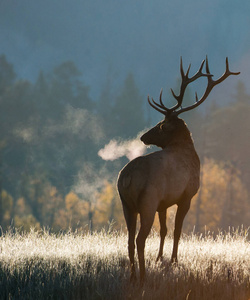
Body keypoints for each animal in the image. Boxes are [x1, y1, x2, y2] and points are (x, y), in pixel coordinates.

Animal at [117, 56, 240, 284]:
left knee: (129, 239)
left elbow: (164, 230)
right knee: (139, 239)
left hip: (126, 203)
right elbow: (177, 230)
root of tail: (126, 178)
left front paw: (160, 258)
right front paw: (174, 260)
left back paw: (132, 276)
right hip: (147, 201)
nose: (143, 136)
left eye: (161, 125)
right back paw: (143, 276)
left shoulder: (163, 203)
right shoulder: (187, 195)